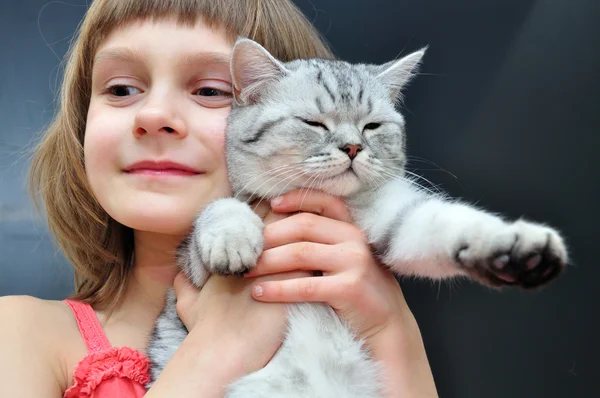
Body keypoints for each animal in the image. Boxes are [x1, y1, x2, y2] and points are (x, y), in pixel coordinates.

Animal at [145, 38, 568, 398]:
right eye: (314, 123)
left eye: (372, 126)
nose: (352, 147)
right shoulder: (193, 271)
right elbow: (222, 207)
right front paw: (233, 240)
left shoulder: (396, 215)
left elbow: (446, 223)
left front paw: (516, 246)